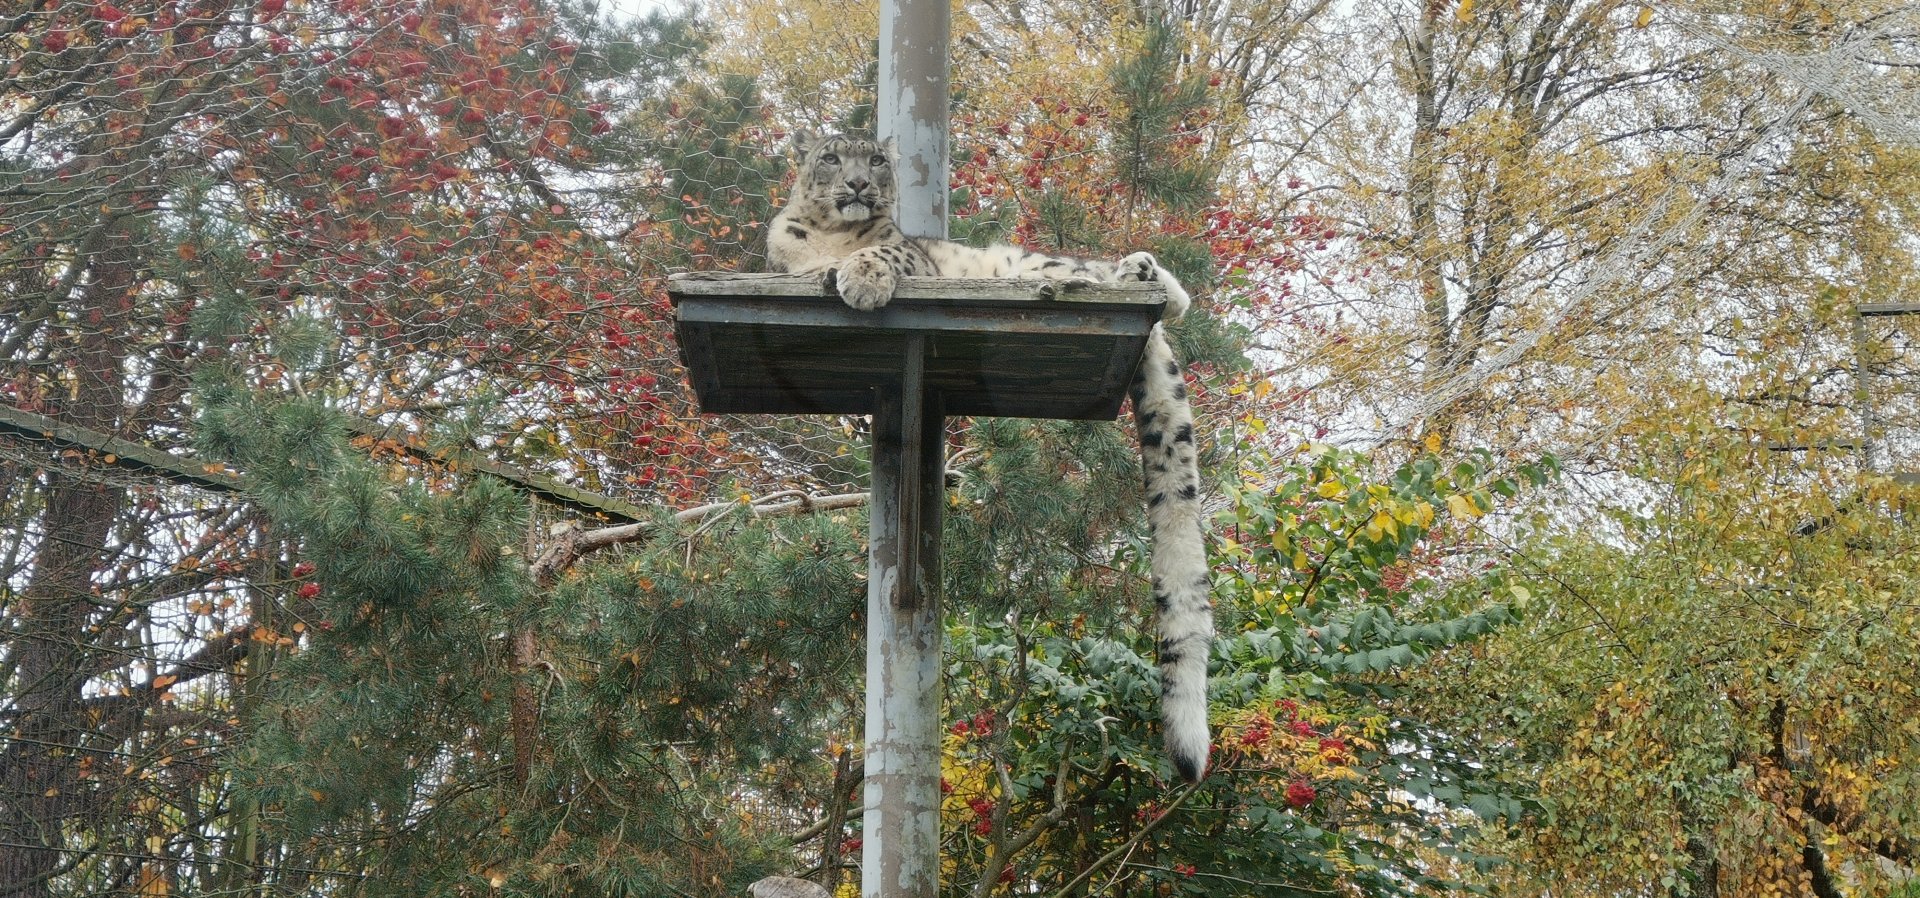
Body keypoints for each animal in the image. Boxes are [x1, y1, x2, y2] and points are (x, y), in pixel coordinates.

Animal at [768, 129, 1213, 782]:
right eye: (831, 156)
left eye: (875, 159)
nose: (858, 184)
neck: (830, 236)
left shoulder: (913, 258)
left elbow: (888, 255)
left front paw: (862, 278)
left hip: (1041, 265)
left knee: (1124, 284)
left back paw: (1141, 271)